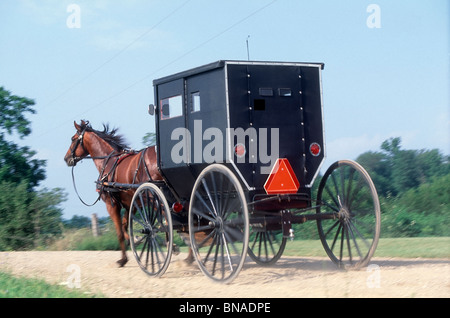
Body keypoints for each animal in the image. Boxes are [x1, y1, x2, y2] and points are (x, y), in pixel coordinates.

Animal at [62, 120, 163, 268]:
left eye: (73, 139)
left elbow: (119, 231)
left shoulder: (112, 205)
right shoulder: (130, 203)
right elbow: (125, 225)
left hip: (152, 197)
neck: (108, 162)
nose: (66, 158)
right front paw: (134, 239)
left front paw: (123, 259)